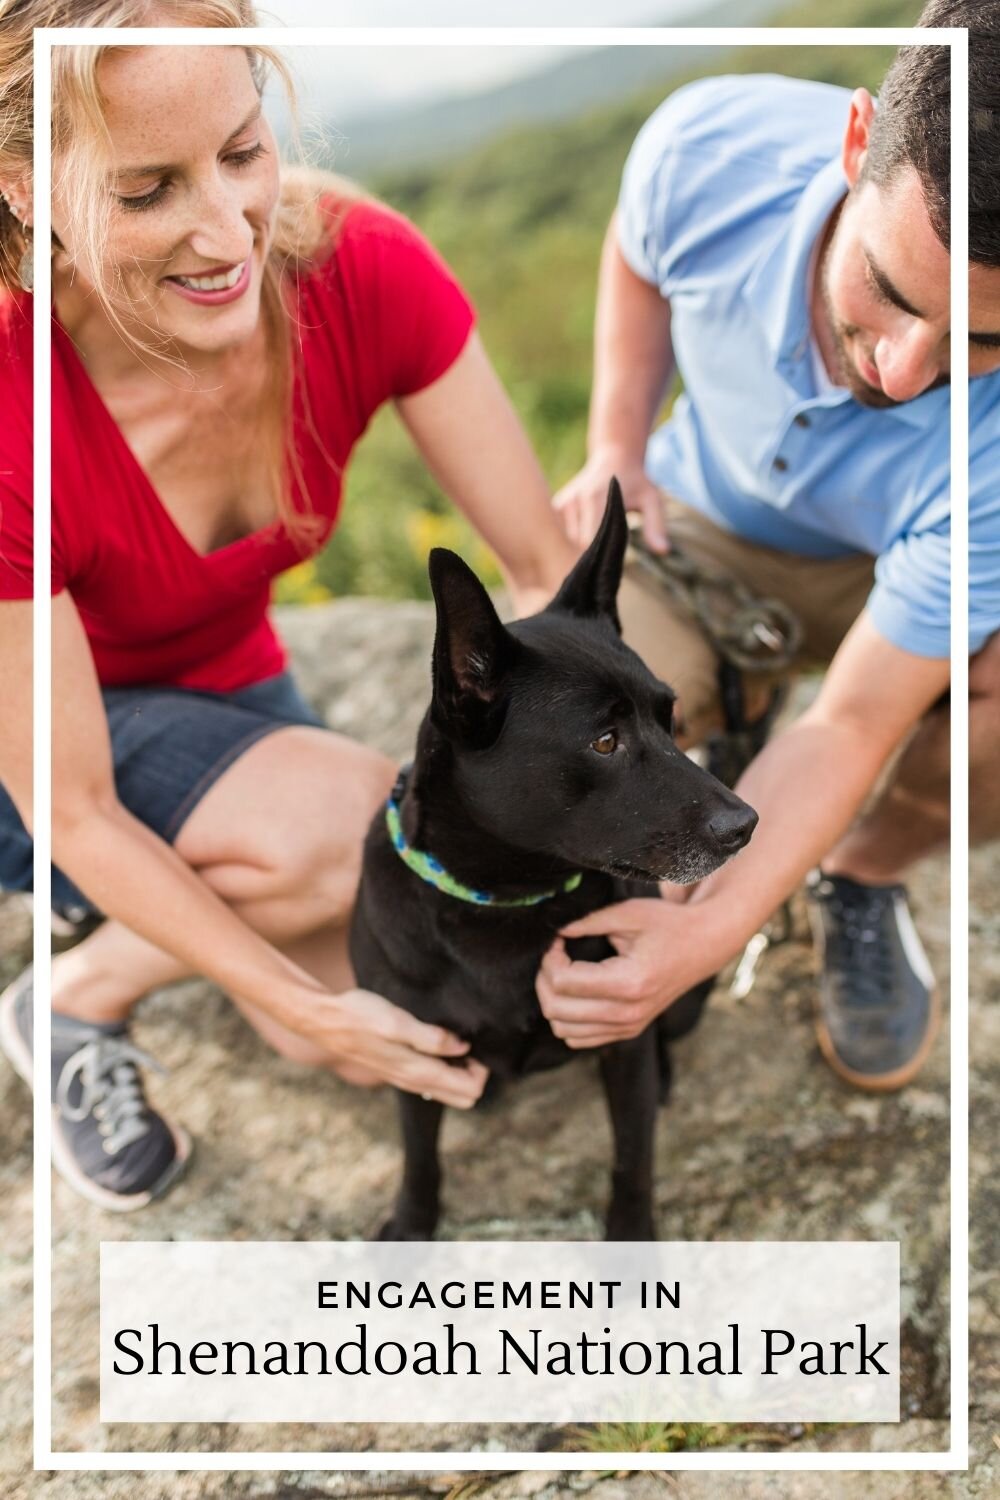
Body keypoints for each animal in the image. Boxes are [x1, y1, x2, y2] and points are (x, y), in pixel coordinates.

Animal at [352, 480, 758, 1242]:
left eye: (670, 716)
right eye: (604, 742)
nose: (746, 825)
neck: (509, 902)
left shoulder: (622, 1040)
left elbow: (632, 1157)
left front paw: (631, 1236)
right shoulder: (412, 1051)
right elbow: (420, 1155)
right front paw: (411, 1227)